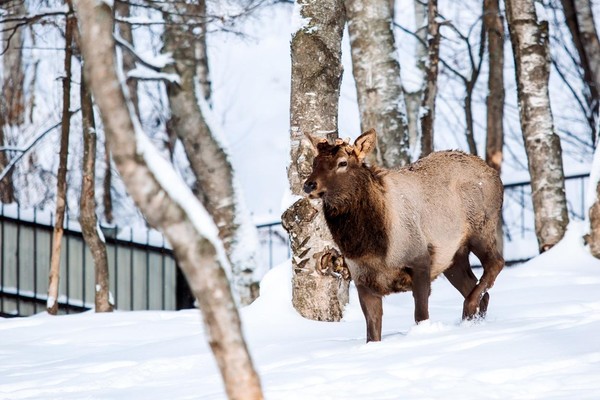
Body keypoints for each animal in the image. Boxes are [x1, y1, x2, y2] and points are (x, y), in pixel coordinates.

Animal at [302, 130, 504, 342]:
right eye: (314, 162)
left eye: (342, 163)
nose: (309, 185)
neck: (369, 249)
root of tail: (494, 175)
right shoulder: (362, 280)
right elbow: (372, 333)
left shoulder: (420, 261)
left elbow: (421, 316)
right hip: (453, 257)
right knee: (479, 290)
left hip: (481, 229)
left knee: (496, 263)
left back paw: (468, 310)